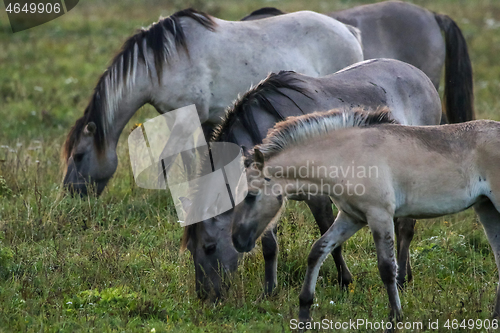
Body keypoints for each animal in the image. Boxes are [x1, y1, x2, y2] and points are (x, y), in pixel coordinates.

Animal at [62, 7, 362, 195]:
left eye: (79, 156)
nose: (68, 194)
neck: (164, 61)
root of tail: (347, 29)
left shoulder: (185, 118)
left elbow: (168, 159)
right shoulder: (185, 118)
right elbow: (191, 158)